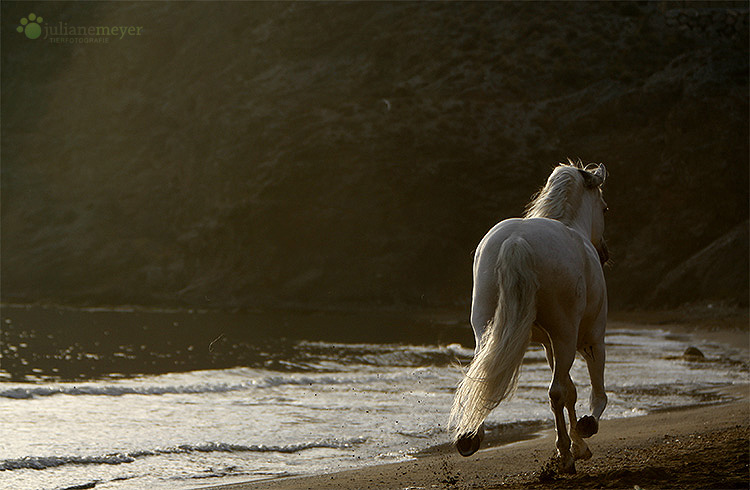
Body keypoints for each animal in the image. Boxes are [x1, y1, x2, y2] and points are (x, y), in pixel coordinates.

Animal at [450, 163, 608, 472]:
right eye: (605, 208)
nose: (605, 252)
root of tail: (516, 241)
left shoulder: (549, 346)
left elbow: (571, 391)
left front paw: (577, 445)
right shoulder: (591, 339)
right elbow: (594, 392)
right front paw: (583, 435)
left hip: (485, 329)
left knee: (482, 373)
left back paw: (469, 437)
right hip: (566, 335)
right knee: (557, 391)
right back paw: (566, 456)